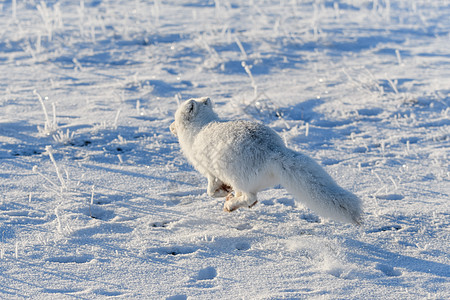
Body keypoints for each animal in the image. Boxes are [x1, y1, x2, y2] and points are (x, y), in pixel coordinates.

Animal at [169, 97, 362, 224]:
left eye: (175, 119)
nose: (170, 127)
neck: (200, 128)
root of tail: (273, 151)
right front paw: (226, 192)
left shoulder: (209, 171)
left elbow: (210, 191)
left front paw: (223, 193)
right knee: (249, 197)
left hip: (238, 176)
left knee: (251, 198)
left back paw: (231, 204)